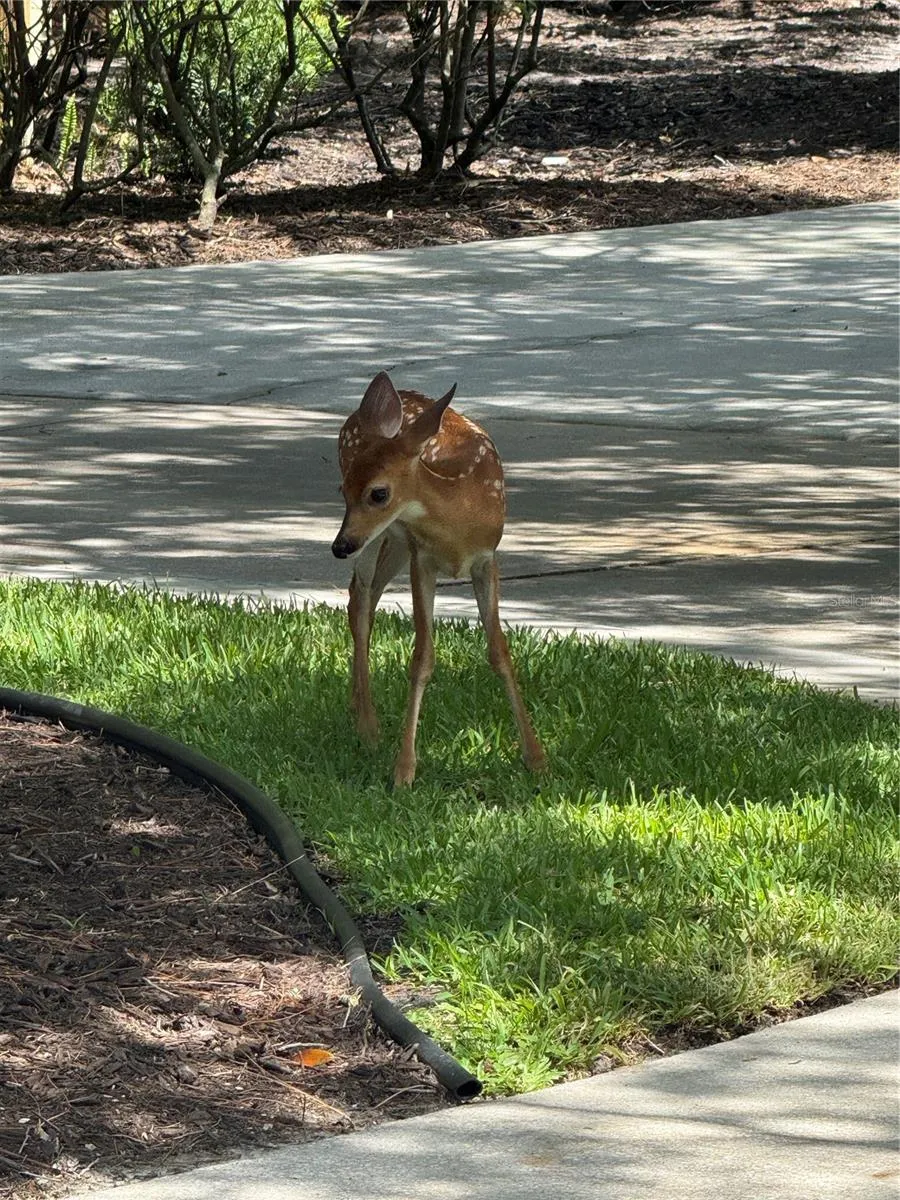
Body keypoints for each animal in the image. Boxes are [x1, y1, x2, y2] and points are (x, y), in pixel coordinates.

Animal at [331, 371, 546, 787]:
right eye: (343, 490)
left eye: (378, 493)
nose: (338, 546)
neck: (458, 520)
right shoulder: (423, 559)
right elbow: (422, 658)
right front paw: (404, 770)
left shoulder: (487, 560)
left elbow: (499, 651)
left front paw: (536, 757)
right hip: (381, 539)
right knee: (360, 595)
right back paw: (368, 726)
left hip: (393, 540)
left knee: (364, 592)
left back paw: (355, 705)